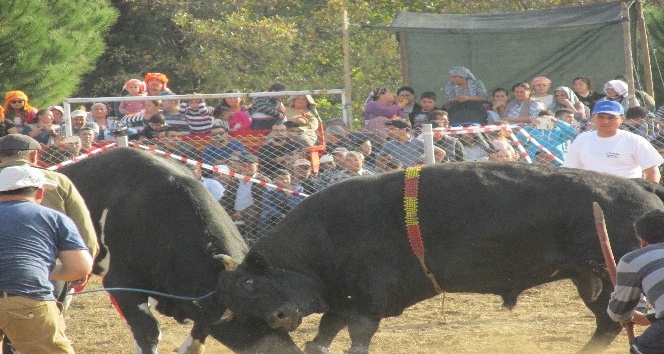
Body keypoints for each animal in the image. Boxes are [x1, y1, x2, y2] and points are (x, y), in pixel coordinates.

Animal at [218, 163, 664, 354]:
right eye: (239, 299)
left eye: (252, 283)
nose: (278, 317)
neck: (326, 232)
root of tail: (638, 185)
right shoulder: (344, 297)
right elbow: (326, 330)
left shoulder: (368, 296)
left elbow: (357, 332)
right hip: (592, 280)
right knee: (607, 323)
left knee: (613, 322)